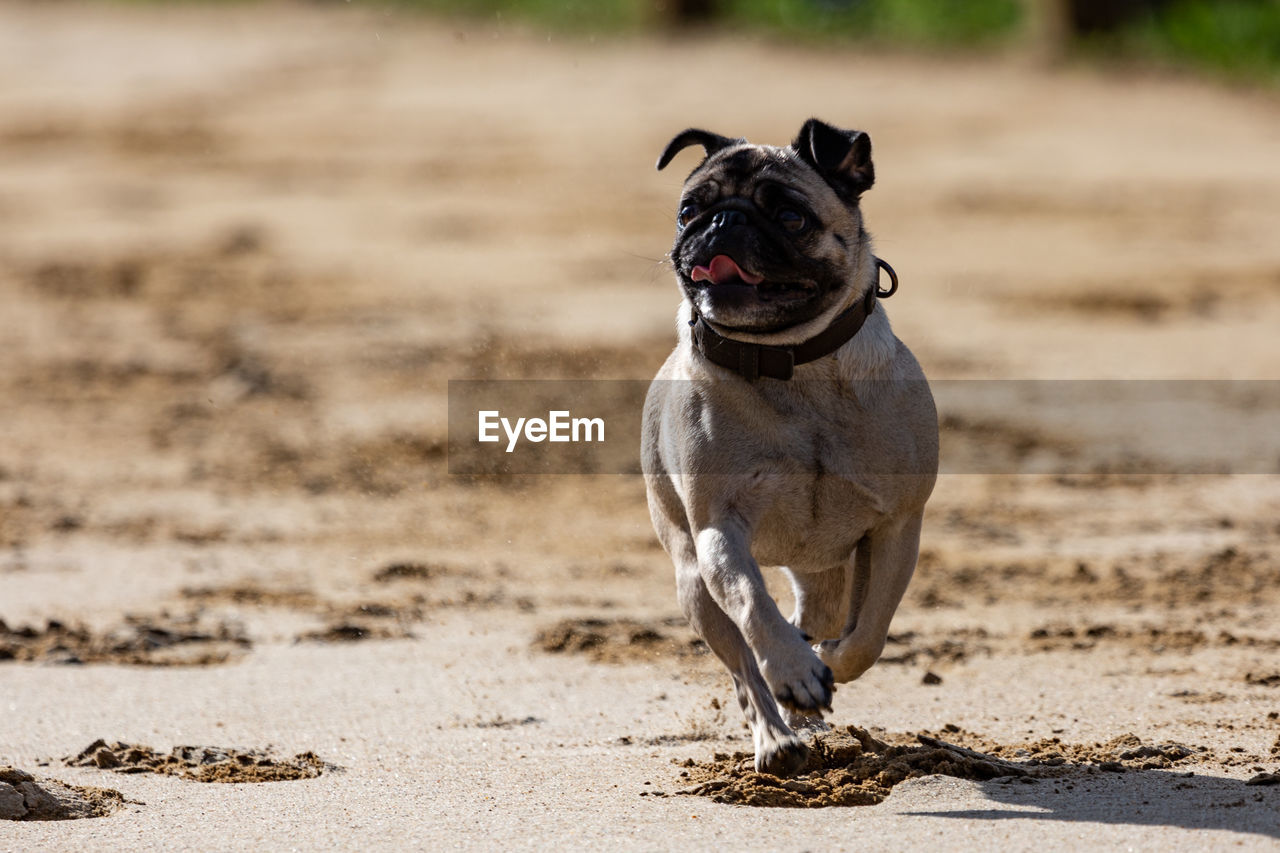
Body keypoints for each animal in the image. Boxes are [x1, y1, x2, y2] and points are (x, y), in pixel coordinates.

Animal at [640, 119, 942, 778]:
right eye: (687, 211)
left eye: (789, 215)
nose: (722, 222)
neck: (793, 362)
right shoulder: (719, 530)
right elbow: (755, 605)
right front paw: (795, 671)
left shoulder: (897, 527)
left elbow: (870, 632)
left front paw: (828, 662)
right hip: (692, 582)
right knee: (743, 667)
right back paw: (778, 735)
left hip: (826, 572)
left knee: (819, 616)